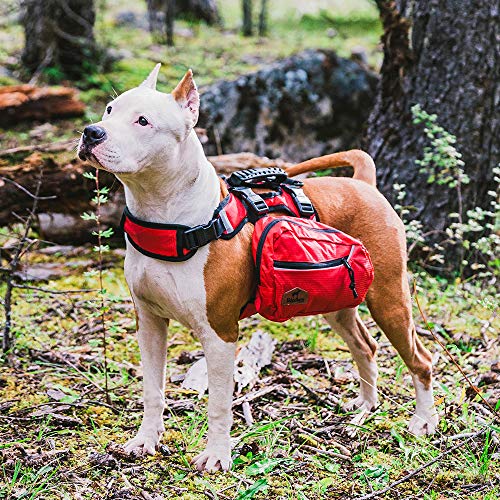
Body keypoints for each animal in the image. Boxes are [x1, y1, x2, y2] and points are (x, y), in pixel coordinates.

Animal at [78, 63, 438, 472]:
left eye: (143, 121)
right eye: (109, 109)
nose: (92, 132)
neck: (168, 218)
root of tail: (364, 184)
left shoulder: (220, 333)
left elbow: (219, 404)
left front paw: (217, 456)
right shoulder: (149, 323)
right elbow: (152, 390)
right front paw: (145, 441)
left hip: (389, 298)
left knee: (421, 359)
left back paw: (423, 421)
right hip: (339, 302)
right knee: (366, 346)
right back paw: (364, 406)